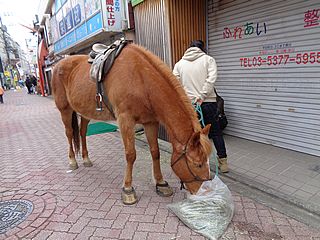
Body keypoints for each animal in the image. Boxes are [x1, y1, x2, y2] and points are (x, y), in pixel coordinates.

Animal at [52, 43, 212, 204]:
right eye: (198, 164)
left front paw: (161, 183)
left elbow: (155, 152)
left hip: (85, 112)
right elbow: (131, 154)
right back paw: (73, 161)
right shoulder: (125, 120)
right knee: (69, 133)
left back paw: (86, 159)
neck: (141, 79)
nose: (205, 193)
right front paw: (128, 189)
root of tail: (58, 64)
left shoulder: (150, 122)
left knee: (82, 132)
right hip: (65, 109)